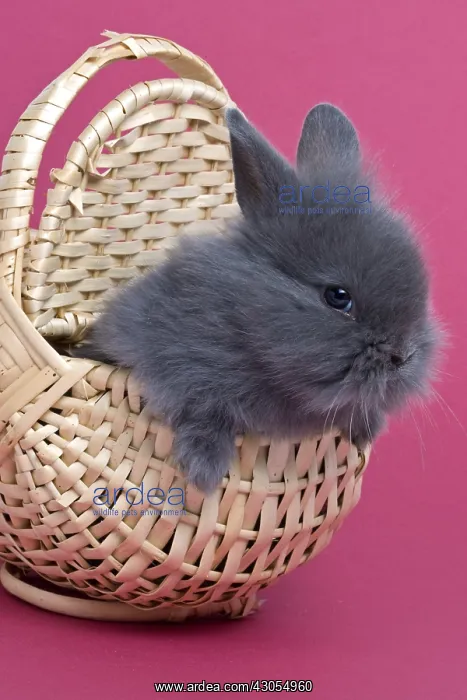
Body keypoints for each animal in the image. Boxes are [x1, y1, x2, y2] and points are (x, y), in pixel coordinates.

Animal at [73, 103, 440, 493]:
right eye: (337, 297)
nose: (403, 356)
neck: (245, 314)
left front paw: (367, 429)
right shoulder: (178, 369)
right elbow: (202, 413)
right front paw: (205, 472)